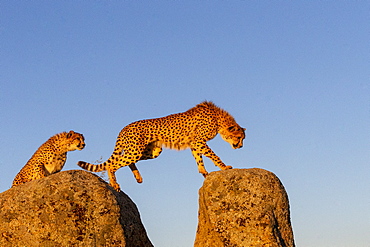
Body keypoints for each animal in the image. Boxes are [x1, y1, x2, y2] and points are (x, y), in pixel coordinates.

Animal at [78, 101, 246, 190]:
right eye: (239, 138)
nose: (241, 146)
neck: (219, 120)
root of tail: (124, 128)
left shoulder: (194, 143)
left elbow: (198, 158)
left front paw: (203, 172)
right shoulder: (199, 141)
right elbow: (213, 155)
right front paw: (224, 167)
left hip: (152, 151)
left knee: (127, 161)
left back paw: (138, 177)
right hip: (136, 150)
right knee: (112, 165)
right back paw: (114, 183)